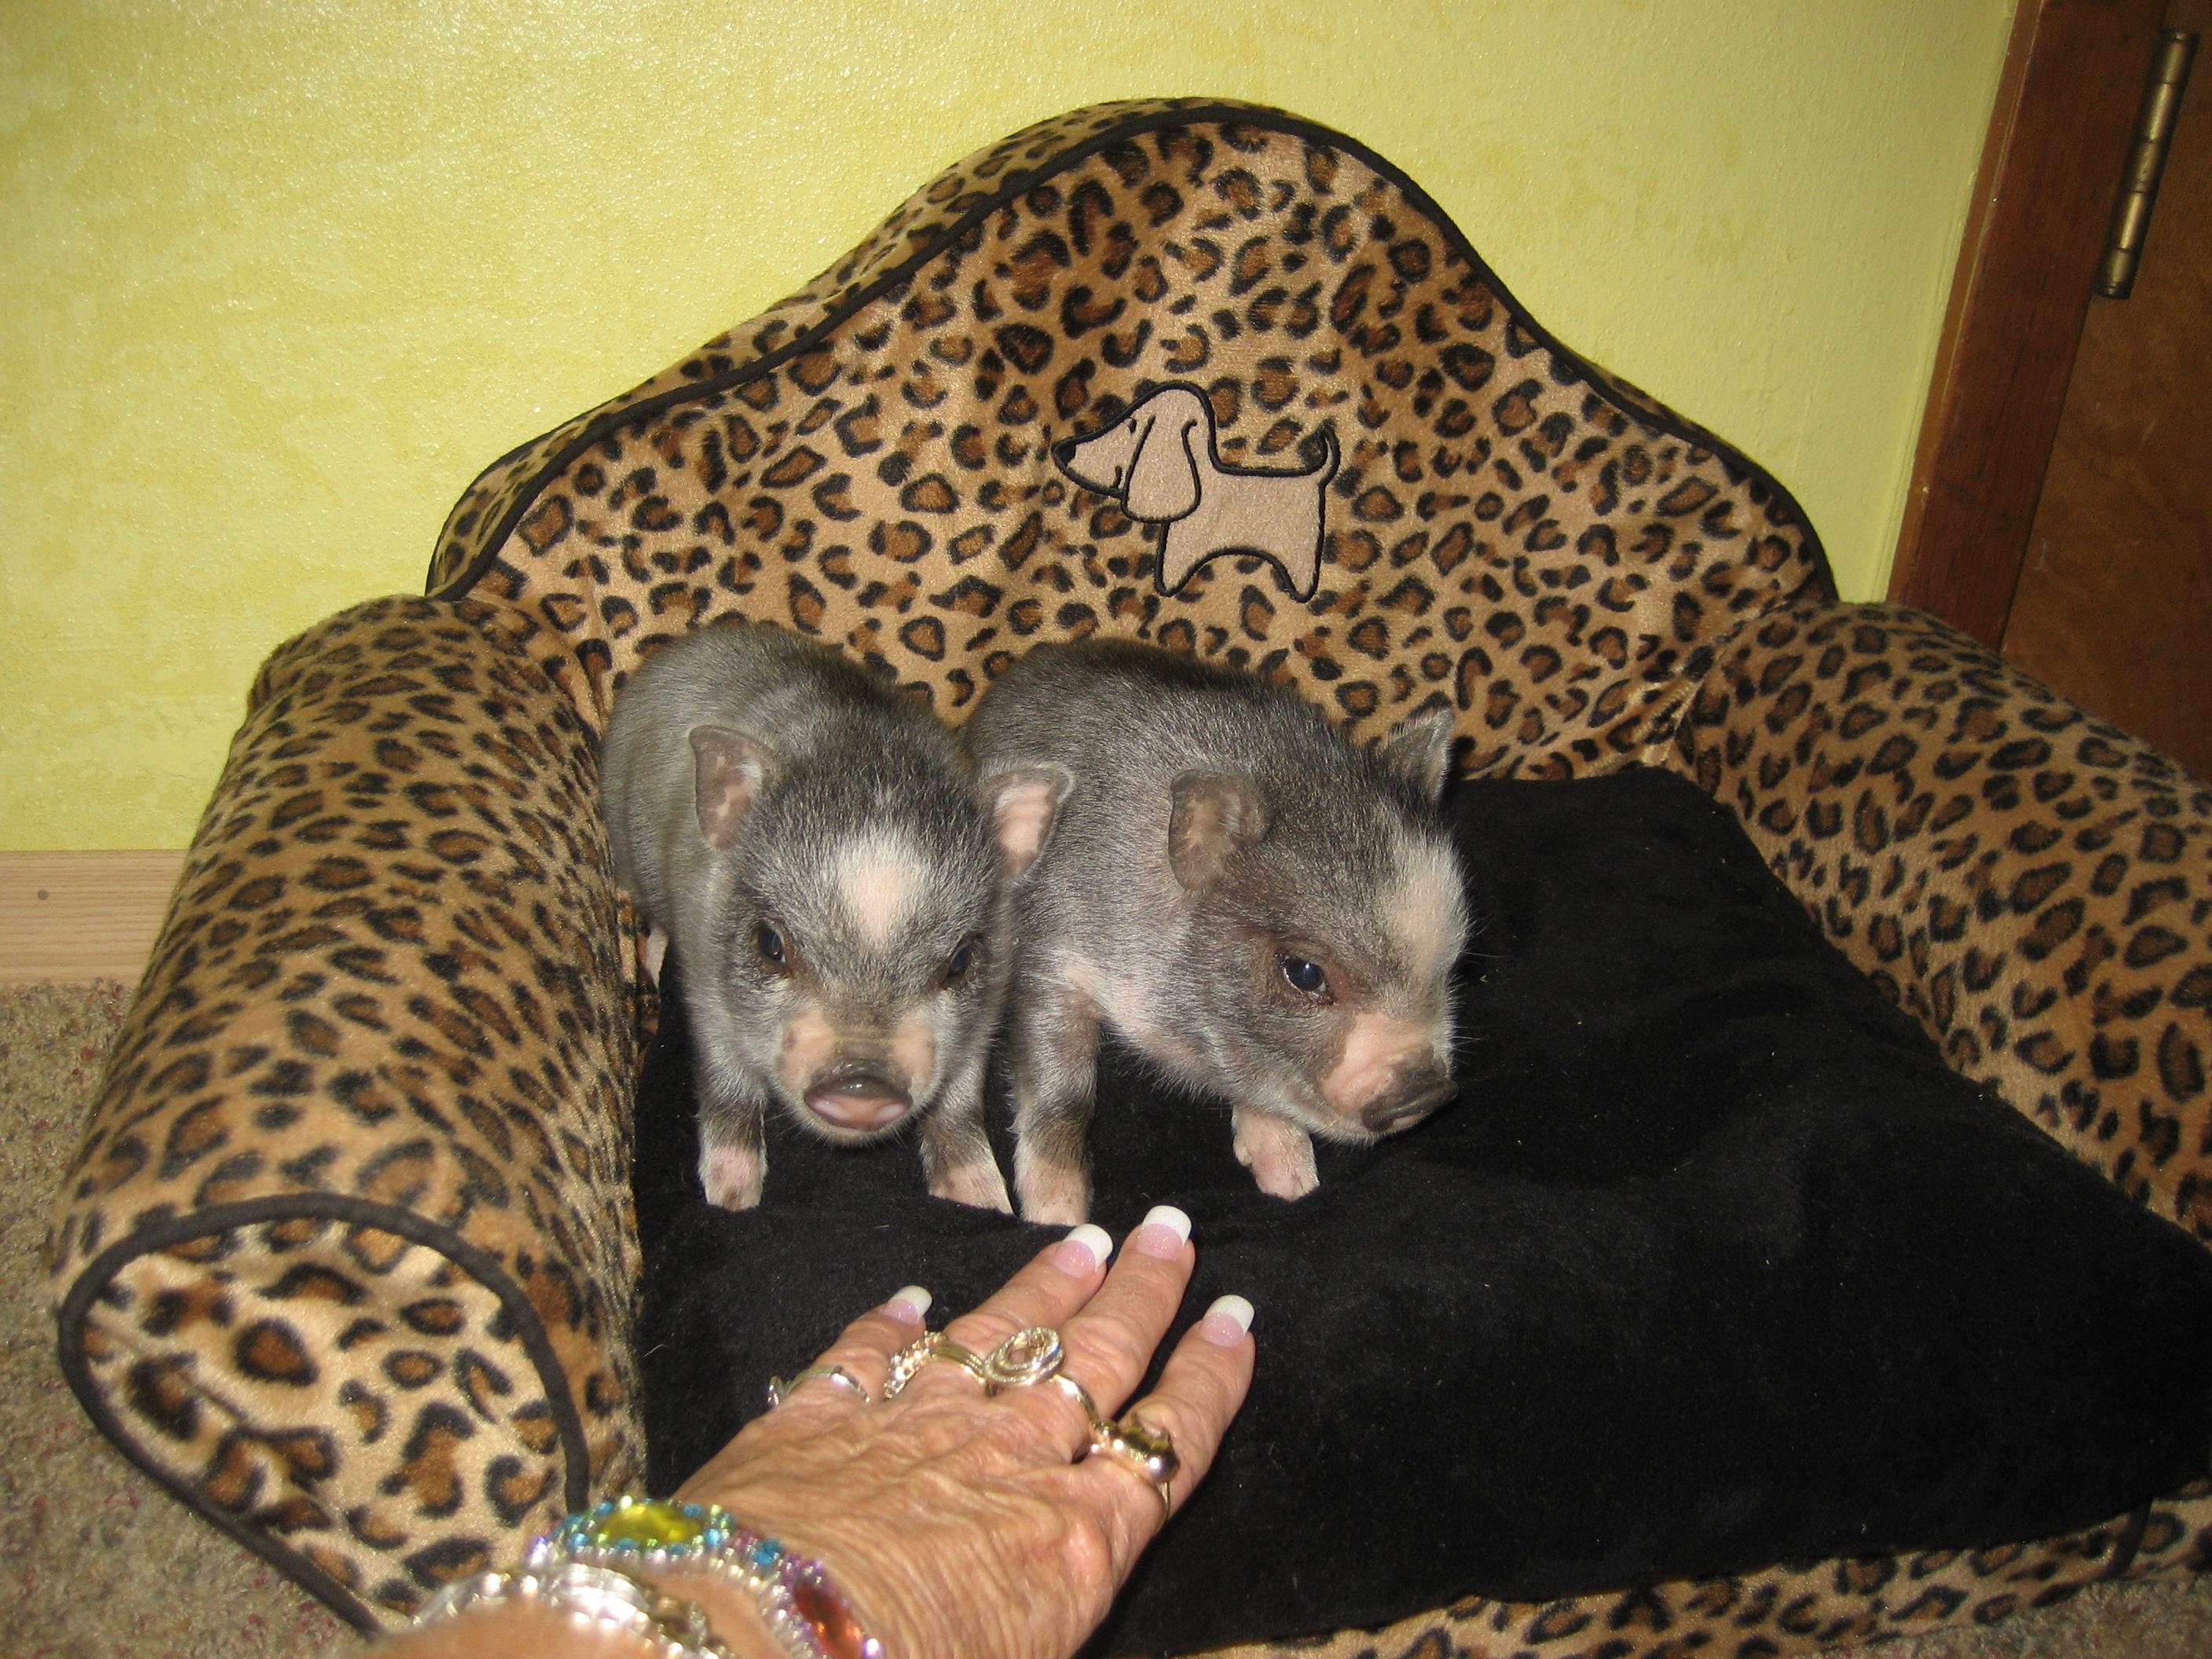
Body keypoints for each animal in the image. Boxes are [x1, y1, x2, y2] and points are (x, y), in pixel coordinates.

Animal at [600, 621, 1063, 1212]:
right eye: (771, 944)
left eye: (959, 962)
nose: (861, 1086)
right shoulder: (706, 987)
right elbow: (727, 1089)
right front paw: (732, 1201)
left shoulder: (983, 1020)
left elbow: (958, 1106)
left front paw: (985, 1202)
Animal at [963, 638, 1470, 1223]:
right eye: (1304, 972)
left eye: (1453, 964)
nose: (1429, 1094)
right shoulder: (1049, 957)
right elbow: (1063, 1092)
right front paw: (1056, 1218)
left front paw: (1293, 1186)